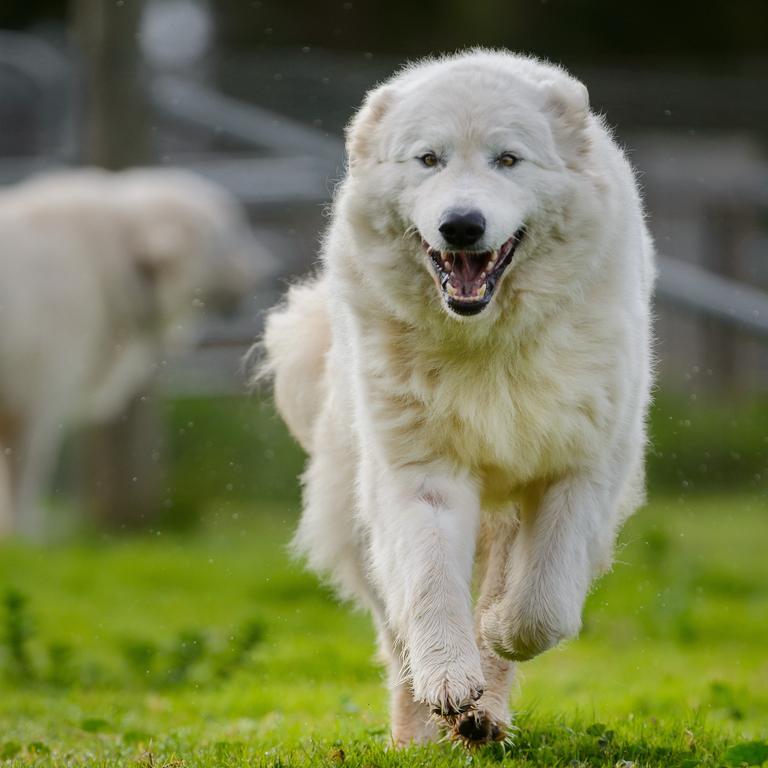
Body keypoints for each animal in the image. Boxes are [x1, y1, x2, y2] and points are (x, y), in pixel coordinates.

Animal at [262, 51, 656, 748]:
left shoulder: (581, 470)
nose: (461, 225)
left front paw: (498, 629)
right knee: (397, 639)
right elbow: (430, 587)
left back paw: (484, 714)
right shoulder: (422, 475)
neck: (488, 342)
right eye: (429, 160)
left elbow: (544, 603)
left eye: (508, 159)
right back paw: (419, 733)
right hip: (359, 508)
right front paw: (448, 679)